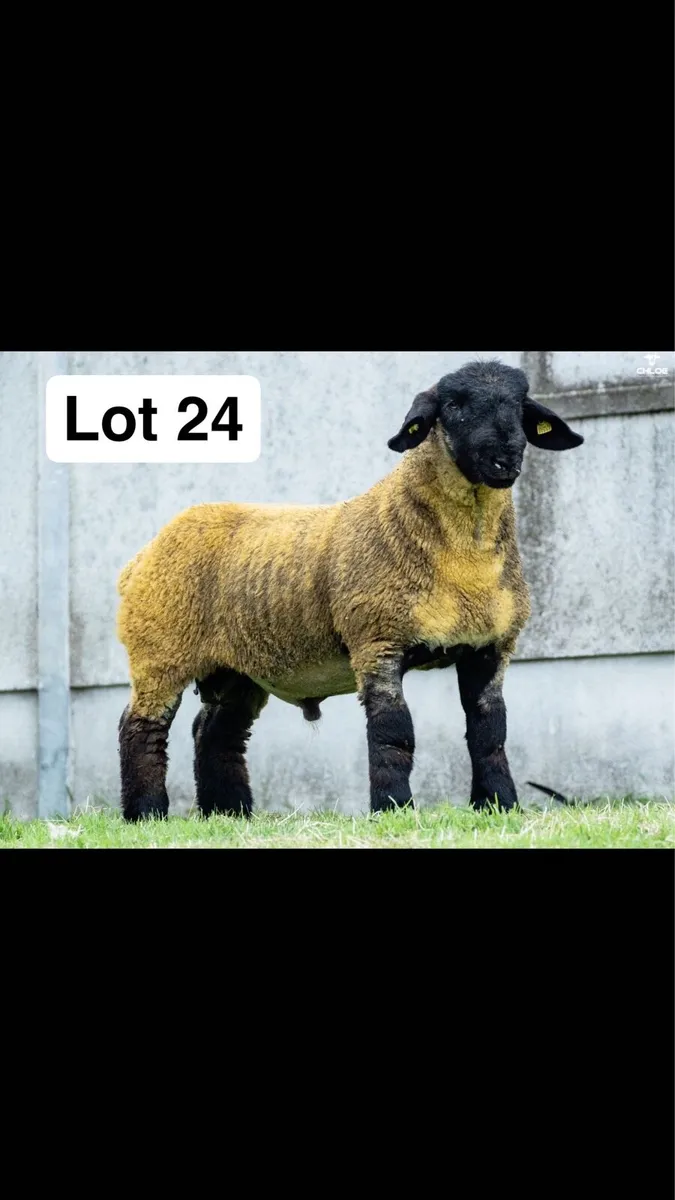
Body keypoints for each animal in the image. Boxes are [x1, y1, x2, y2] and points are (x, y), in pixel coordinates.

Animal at [116, 359, 584, 821]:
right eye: (453, 405)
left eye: (519, 405)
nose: (505, 456)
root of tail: (140, 558)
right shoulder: (378, 641)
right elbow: (393, 731)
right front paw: (394, 808)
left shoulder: (488, 647)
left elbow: (489, 732)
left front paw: (499, 805)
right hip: (160, 652)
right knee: (140, 728)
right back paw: (147, 813)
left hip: (236, 668)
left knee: (216, 733)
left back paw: (229, 812)